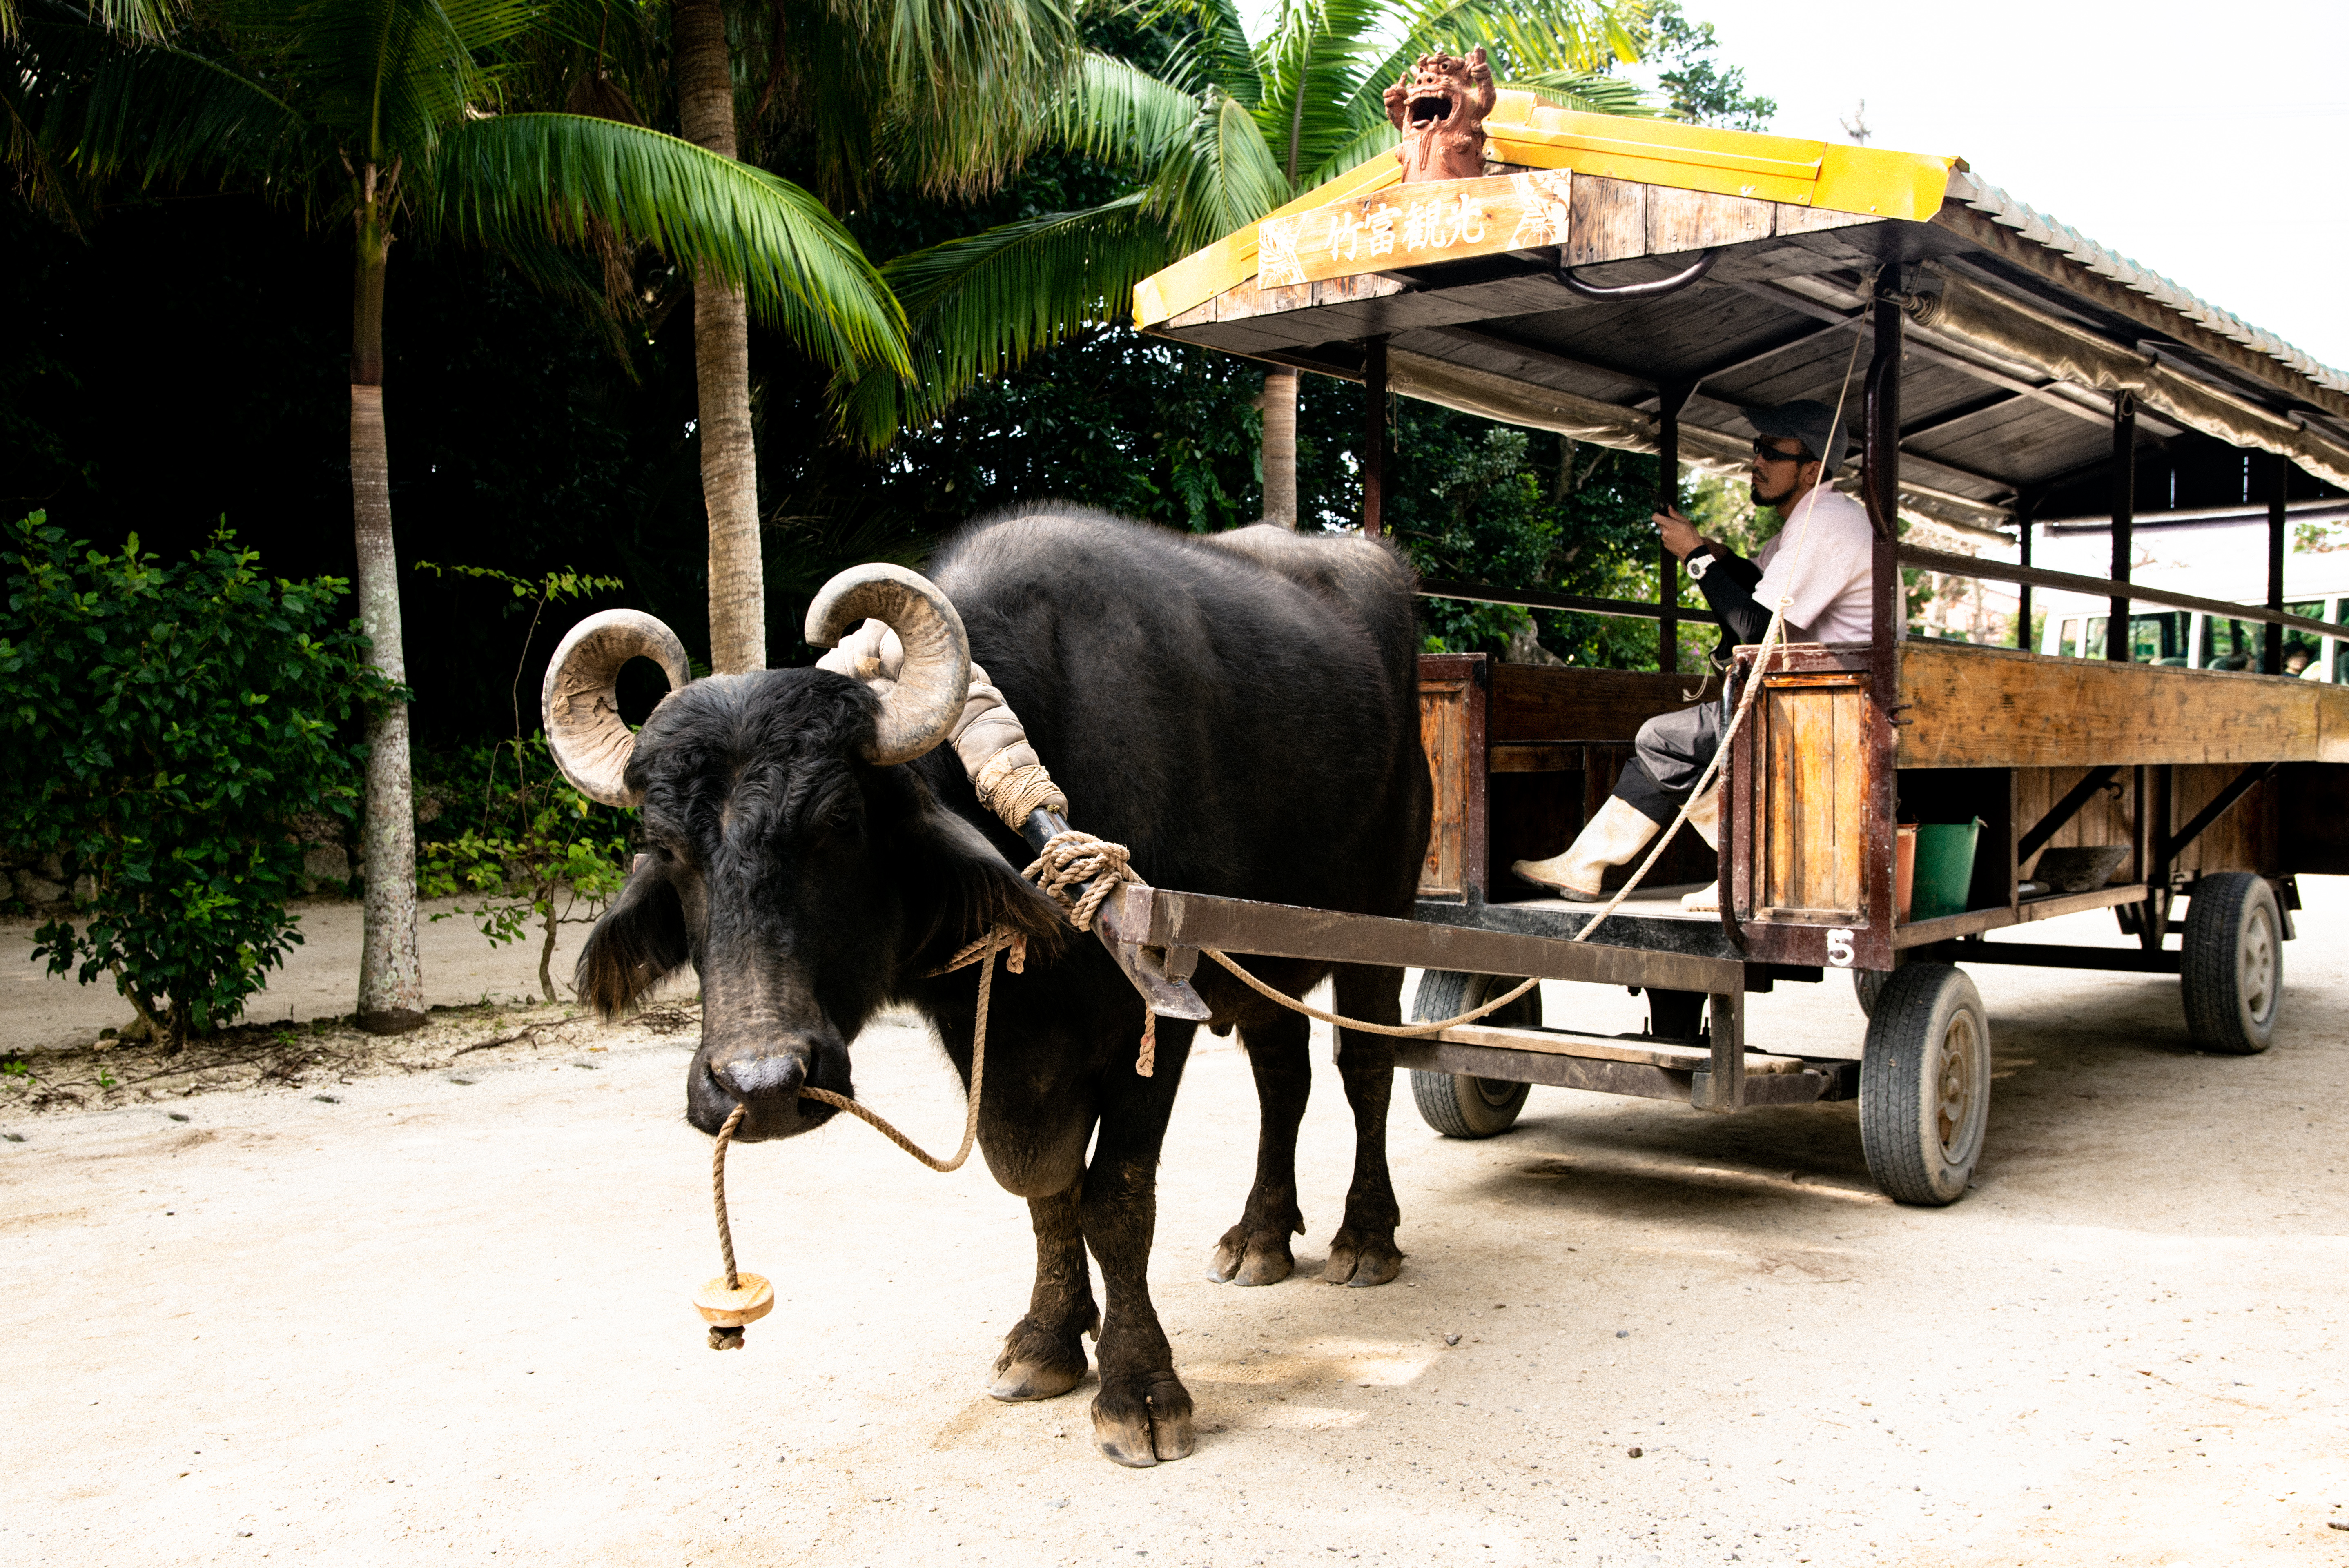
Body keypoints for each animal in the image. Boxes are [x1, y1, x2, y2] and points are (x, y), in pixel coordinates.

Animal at [545, 509, 1428, 1465]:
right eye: (665, 845)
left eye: (838, 824)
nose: (761, 1087)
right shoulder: (1010, 1051)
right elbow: (1043, 1187)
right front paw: (1047, 1340)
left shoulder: (1152, 1021)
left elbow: (1115, 1197)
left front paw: (1139, 1390)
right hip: (1262, 960)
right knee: (1282, 1075)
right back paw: (1261, 1235)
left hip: (1383, 916)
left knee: (1365, 1070)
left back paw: (1365, 1238)